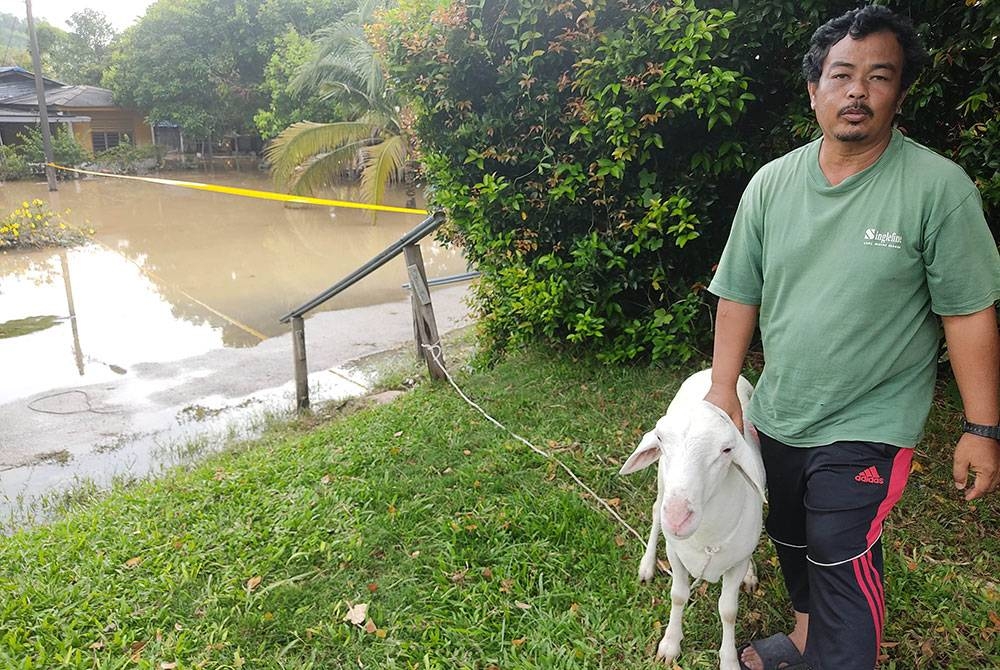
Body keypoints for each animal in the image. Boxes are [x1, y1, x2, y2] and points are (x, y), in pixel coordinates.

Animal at [616, 370, 764, 668]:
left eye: (727, 450)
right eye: (660, 439)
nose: (677, 517)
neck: (706, 536)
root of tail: (708, 370)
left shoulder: (735, 563)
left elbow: (728, 610)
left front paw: (729, 660)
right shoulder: (675, 553)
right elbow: (678, 595)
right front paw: (670, 645)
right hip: (662, 483)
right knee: (654, 511)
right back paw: (647, 566)